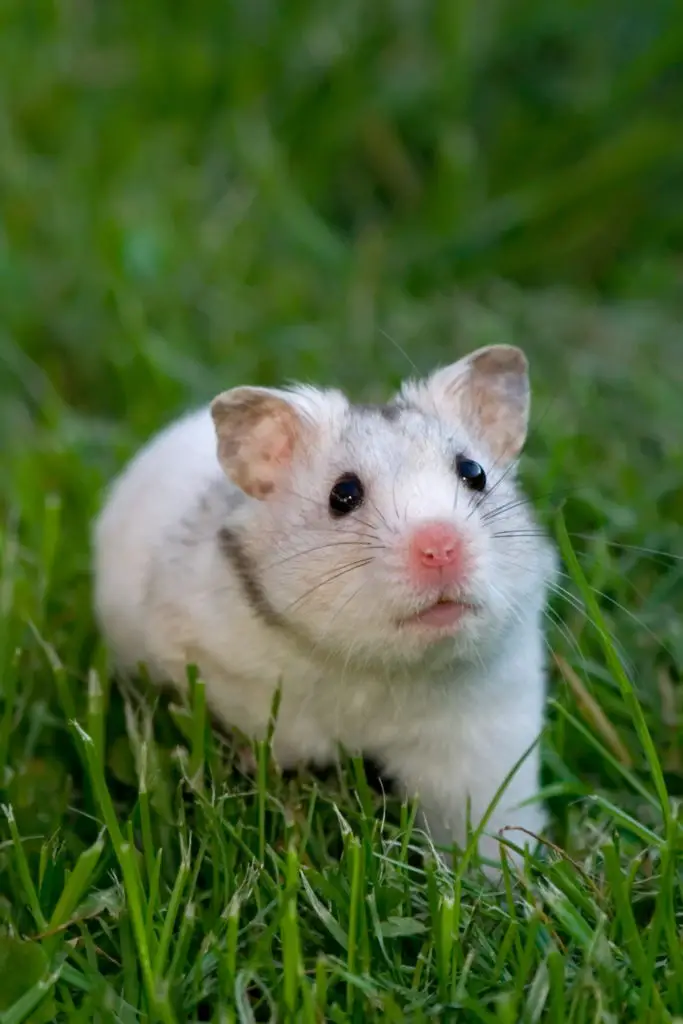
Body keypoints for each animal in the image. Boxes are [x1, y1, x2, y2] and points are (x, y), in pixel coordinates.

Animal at [93, 344, 557, 872]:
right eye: (344, 494)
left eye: (474, 473)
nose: (441, 547)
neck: (378, 670)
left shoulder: (487, 732)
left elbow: (484, 821)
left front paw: (506, 877)